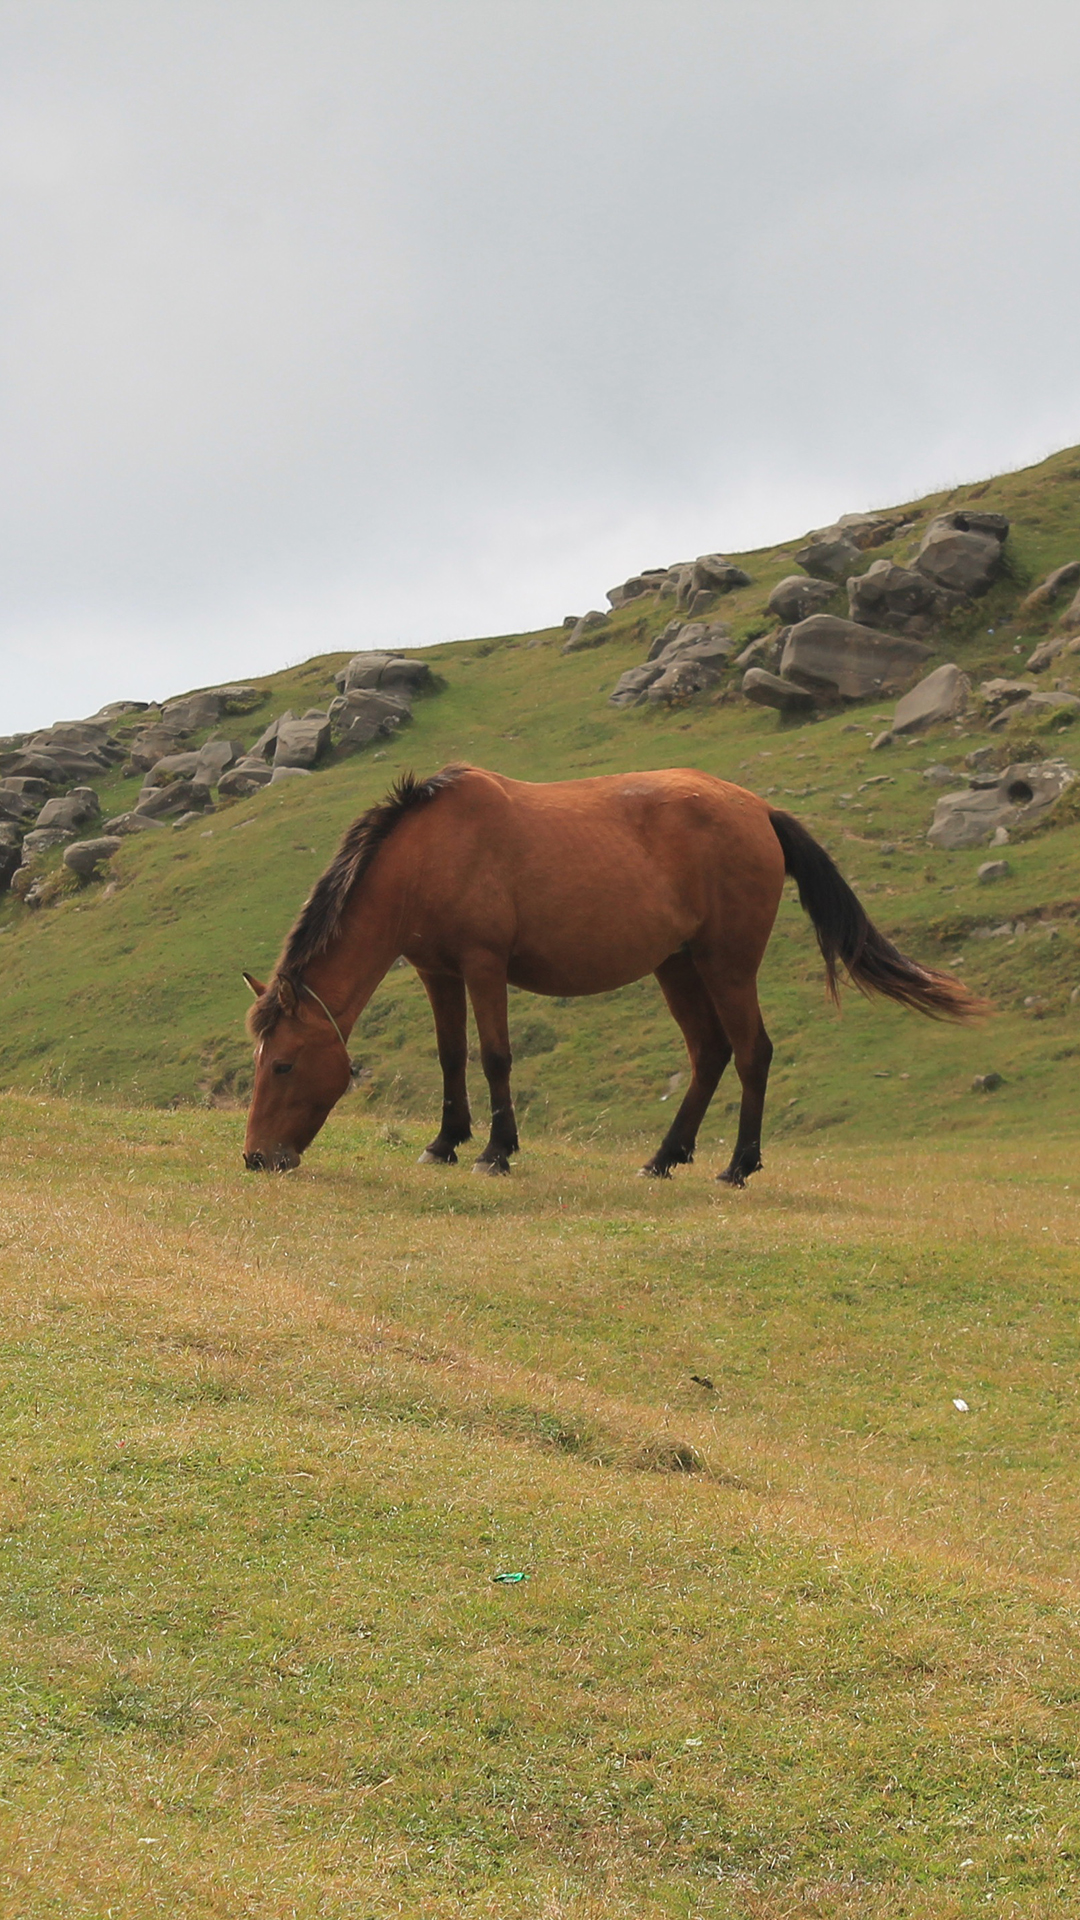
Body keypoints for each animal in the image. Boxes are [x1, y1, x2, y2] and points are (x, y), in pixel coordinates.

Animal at [239, 756, 980, 1175]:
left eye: (284, 1065)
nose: (255, 1157)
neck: (430, 852)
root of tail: (759, 810)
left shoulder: (483, 966)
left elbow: (494, 1057)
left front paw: (496, 1152)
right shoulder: (437, 971)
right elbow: (452, 1058)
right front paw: (445, 1143)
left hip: (726, 965)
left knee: (752, 1053)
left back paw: (739, 1165)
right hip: (678, 967)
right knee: (710, 1054)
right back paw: (664, 1157)